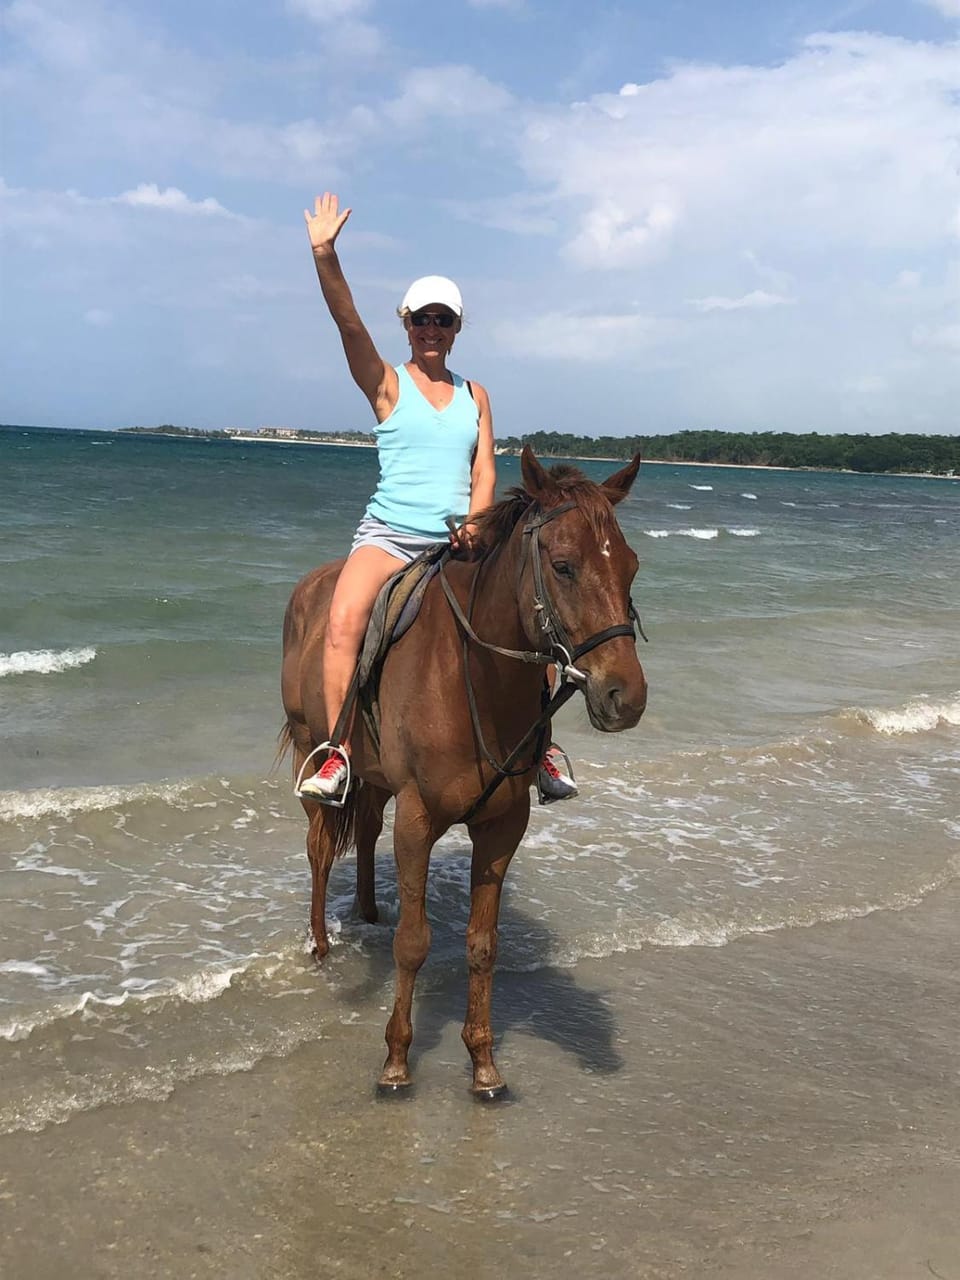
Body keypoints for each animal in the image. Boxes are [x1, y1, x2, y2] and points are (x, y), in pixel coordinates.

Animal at [279, 446, 647, 1098]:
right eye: (563, 566)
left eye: (629, 568)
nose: (625, 698)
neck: (471, 675)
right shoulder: (418, 818)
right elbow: (413, 942)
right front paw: (396, 1061)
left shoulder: (503, 827)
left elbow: (482, 945)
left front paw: (483, 1063)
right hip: (310, 750)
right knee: (320, 848)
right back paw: (321, 945)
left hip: (376, 781)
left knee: (365, 831)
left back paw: (368, 912)